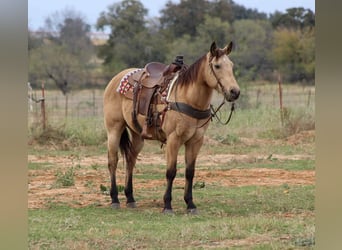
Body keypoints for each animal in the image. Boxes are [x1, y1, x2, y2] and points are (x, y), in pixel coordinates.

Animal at [103, 41, 239, 213]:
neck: (188, 98)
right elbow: (171, 172)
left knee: (130, 160)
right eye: (217, 66)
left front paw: (190, 204)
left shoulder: (196, 141)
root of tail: (116, 79)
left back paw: (130, 198)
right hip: (114, 129)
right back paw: (114, 199)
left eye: (231, 65)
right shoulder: (174, 139)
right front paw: (167, 205)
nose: (234, 92)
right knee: (112, 161)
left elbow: (190, 172)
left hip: (137, 135)